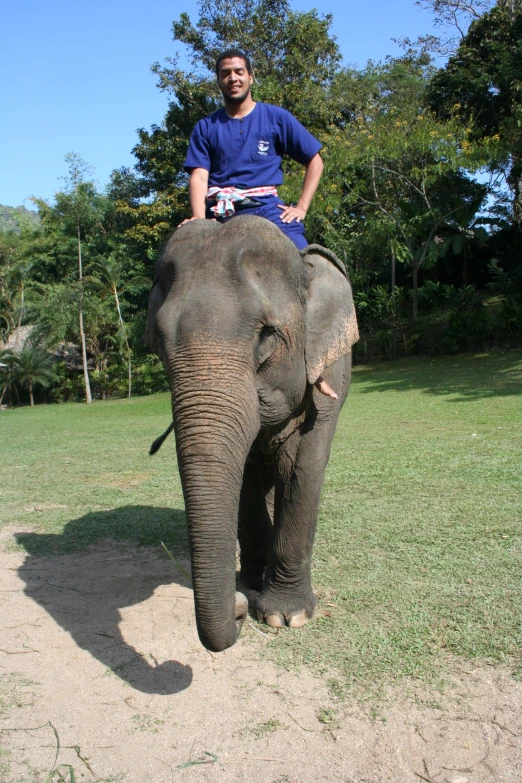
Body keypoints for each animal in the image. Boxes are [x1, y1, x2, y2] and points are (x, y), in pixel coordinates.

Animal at [145, 211, 358, 652]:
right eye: (159, 341)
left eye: (266, 334)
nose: (240, 611)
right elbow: (243, 476)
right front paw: (250, 587)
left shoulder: (331, 373)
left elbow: (304, 467)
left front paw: (286, 615)